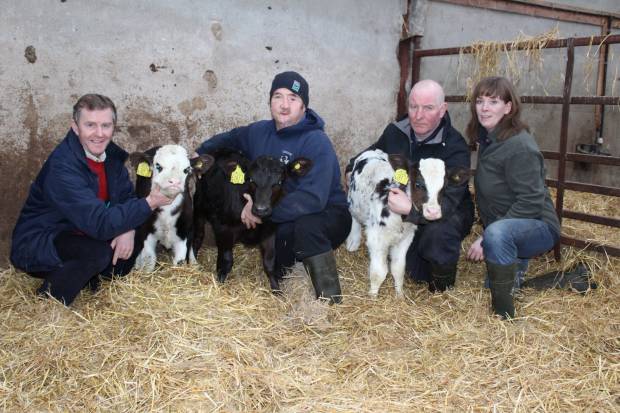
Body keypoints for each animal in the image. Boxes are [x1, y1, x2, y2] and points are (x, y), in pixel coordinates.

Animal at [131, 143, 216, 272]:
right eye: (158, 166)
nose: (175, 182)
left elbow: (179, 262)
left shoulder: (183, 234)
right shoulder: (146, 233)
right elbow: (149, 261)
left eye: (187, 169)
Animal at [193, 150, 310, 292]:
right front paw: (220, 284)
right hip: (198, 208)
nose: (261, 209)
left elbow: (269, 262)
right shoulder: (223, 228)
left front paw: (277, 290)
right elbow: (226, 261)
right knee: (198, 236)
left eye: (279, 182)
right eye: (251, 180)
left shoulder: (269, 230)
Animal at [346, 150, 468, 298]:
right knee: (354, 216)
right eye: (418, 184)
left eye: (444, 187)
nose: (433, 212)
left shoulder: (406, 238)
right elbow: (378, 272)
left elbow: (398, 268)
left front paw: (400, 295)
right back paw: (353, 240)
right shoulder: (377, 239)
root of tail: (372, 151)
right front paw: (373, 297)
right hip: (354, 201)